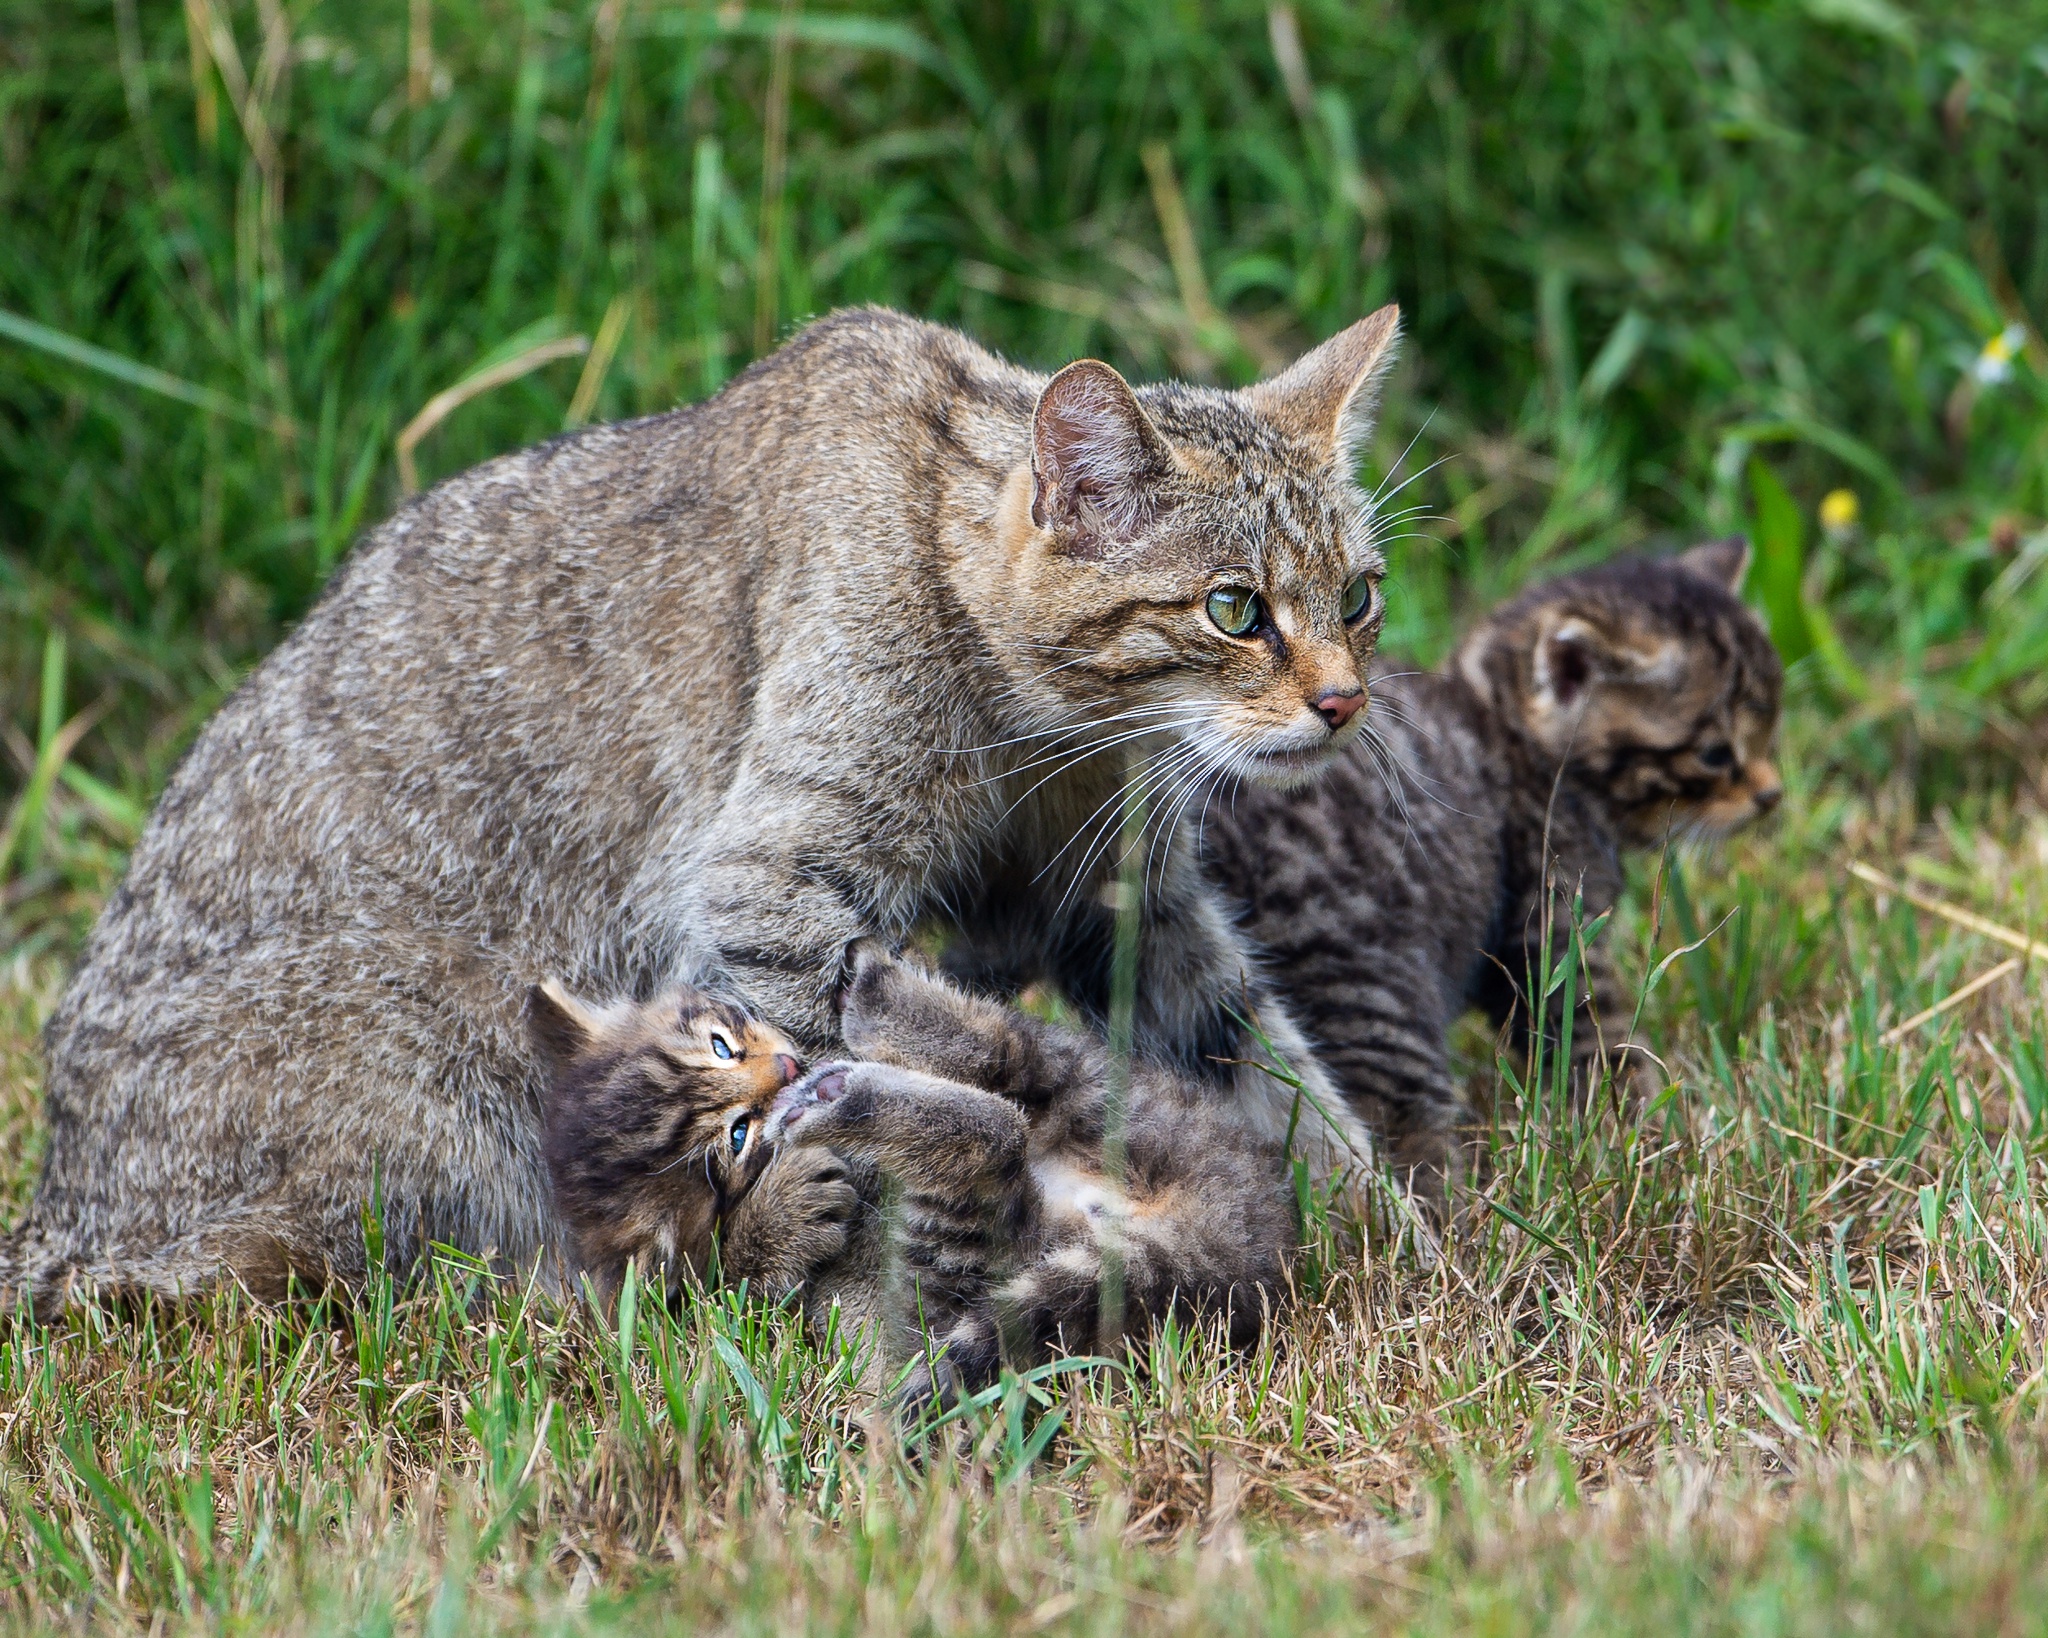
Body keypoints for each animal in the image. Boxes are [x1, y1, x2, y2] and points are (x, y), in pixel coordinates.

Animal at [8, 307, 1400, 1302]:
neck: (1043, 733)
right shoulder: (772, 880)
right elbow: (823, 1078)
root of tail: (57, 1216)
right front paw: (860, 1265)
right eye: (1233, 608)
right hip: (431, 1052)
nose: (1343, 701)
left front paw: (1390, 1236)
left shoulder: (1120, 900)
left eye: (1358, 597)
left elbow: (1257, 1058)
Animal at [536, 945, 1286, 1392]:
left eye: (723, 1045)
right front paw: (777, 1220)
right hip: (970, 1246)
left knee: (1007, 1054)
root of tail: (1240, 1232)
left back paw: (871, 998)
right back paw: (850, 1095)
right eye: (738, 1137)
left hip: (1108, 1092)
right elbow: (735, 1301)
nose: (786, 1067)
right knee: (999, 1135)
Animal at [1196, 544, 1777, 1195]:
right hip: (1363, 980)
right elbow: (1595, 1036)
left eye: (1772, 726)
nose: (1772, 795)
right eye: (1716, 754)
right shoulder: (1549, 922)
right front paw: (1649, 1132)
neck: (1507, 733)